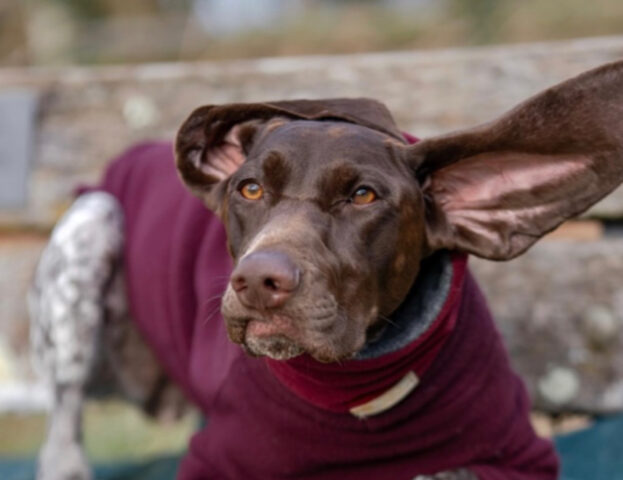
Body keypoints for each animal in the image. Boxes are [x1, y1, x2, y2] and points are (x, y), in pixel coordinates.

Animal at [29, 61, 623, 480]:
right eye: (250, 189)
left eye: (363, 196)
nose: (257, 282)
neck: (357, 386)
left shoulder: (517, 455)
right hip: (93, 223)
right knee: (61, 429)